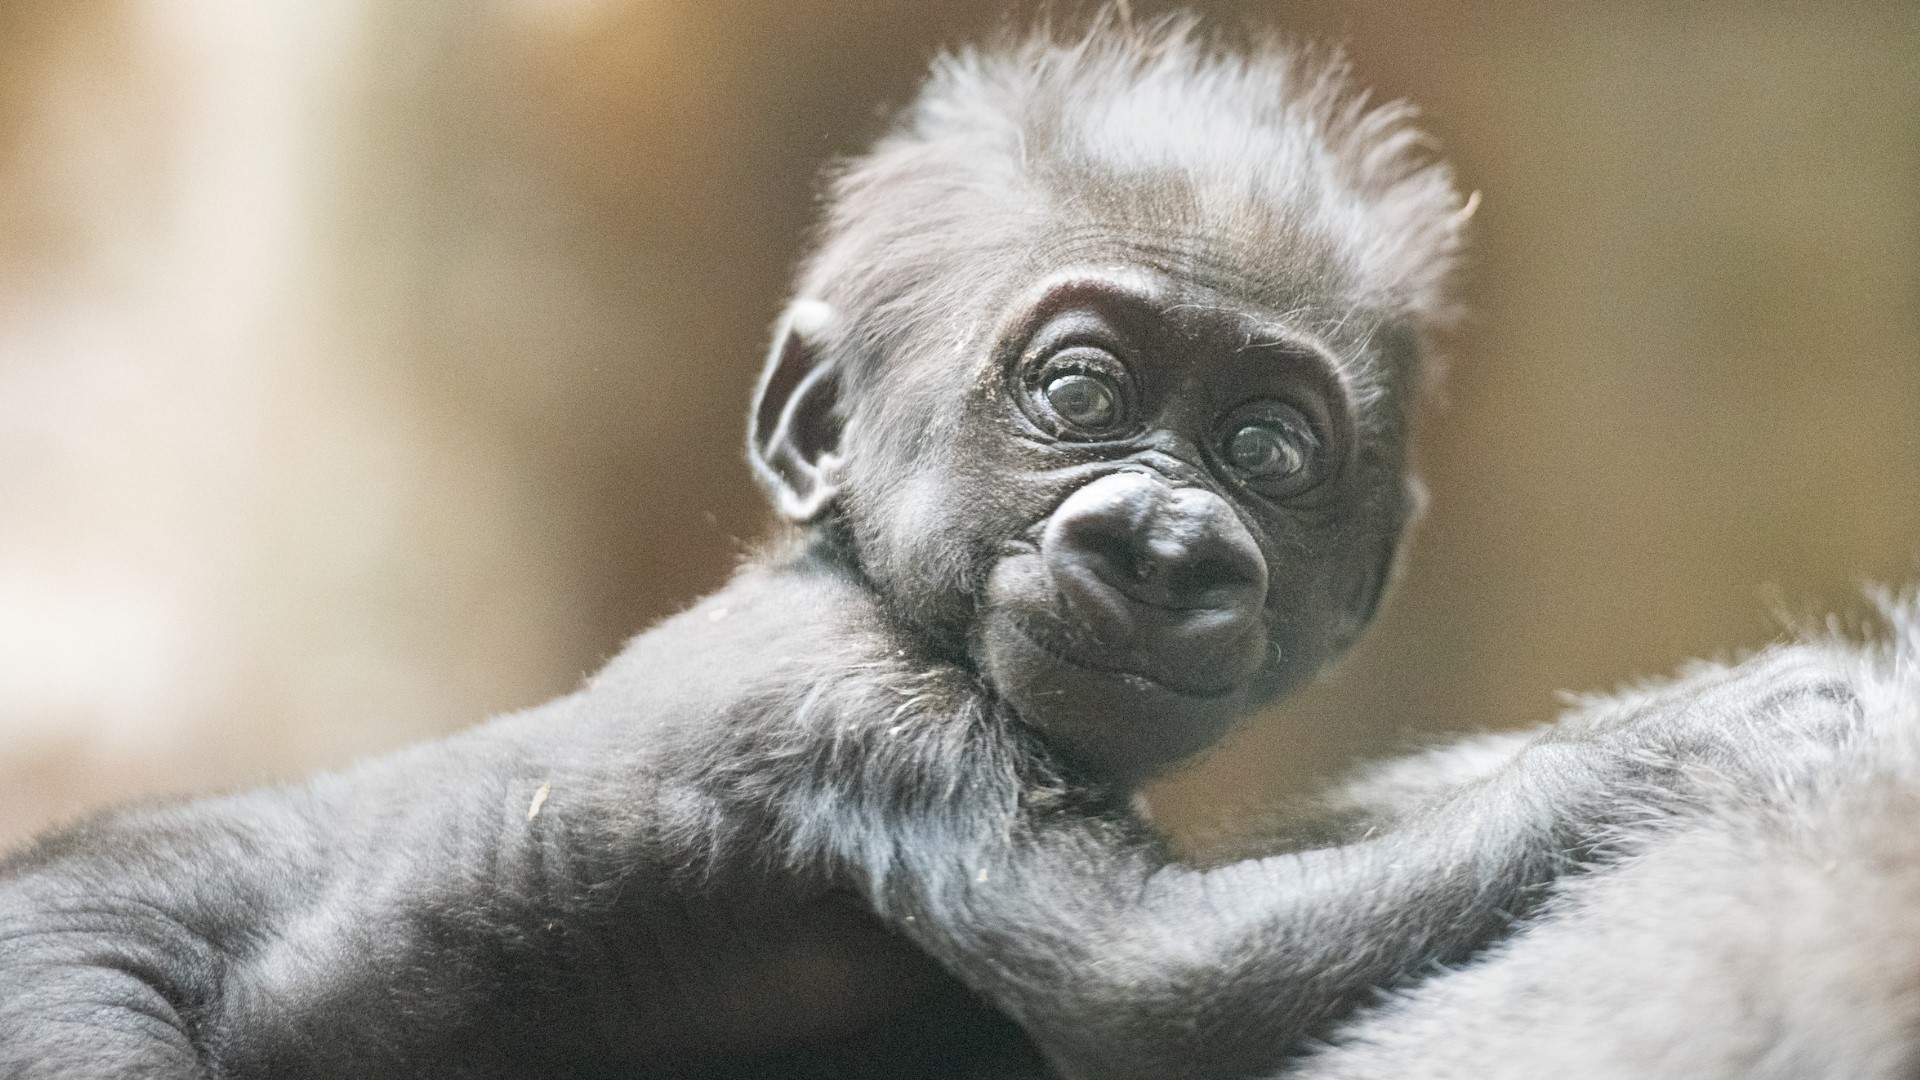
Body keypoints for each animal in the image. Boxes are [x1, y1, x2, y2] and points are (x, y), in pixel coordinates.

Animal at [0, 16, 1850, 1076]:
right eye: (1080, 392)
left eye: (1264, 452)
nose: (1165, 540)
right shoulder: (860, 707)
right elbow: (1149, 984)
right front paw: (1707, 737)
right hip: (61, 970)